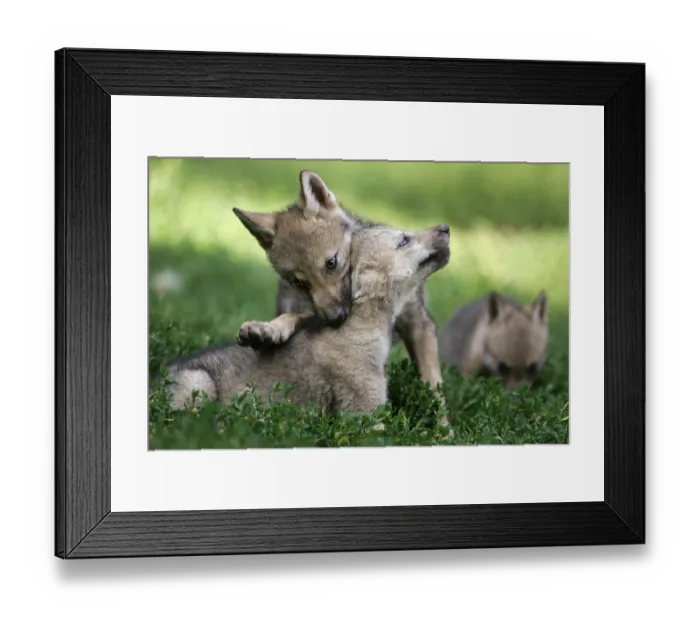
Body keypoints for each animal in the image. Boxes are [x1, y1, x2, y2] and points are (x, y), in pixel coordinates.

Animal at [232, 170, 448, 396]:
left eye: (331, 263)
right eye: (299, 283)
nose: (335, 319)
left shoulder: (419, 323)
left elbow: (431, 379)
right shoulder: (315, 314)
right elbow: (292, 317)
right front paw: (268, 329)